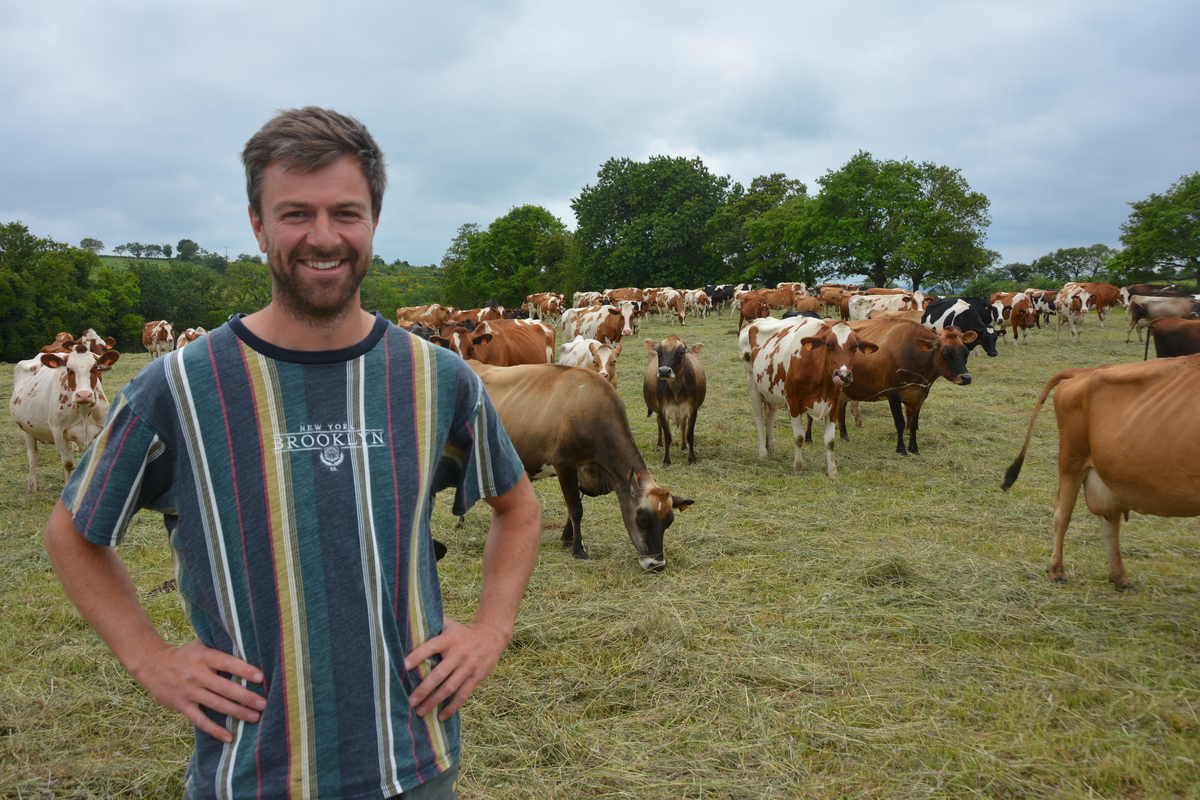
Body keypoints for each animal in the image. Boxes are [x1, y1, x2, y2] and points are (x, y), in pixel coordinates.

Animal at [9, 340, 120, 491]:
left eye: (95, 368)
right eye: (69, 369)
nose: (84, 395)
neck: (84, 412)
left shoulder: (99, 430)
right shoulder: (58, 431)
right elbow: (68, 462)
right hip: (27, 429)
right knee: (33, 455)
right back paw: (32, 486)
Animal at [643, 335, 705, 465]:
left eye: (681, 353)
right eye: (658, 351)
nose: (664, 371)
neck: (676, 390)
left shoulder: (692, 409)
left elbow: (689, 434)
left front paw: (692, 458)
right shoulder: (662, 410)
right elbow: (667, 436)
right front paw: (666, 460)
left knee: (683, 425)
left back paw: (683, 446)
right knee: (659, 423)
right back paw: (659, 444)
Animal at [734, 316, 878, 474]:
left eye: (855, 347)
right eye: (828, 345)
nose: (843, 375)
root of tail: (756, 321)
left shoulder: (834, 403)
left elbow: (830, 441)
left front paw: (832, 470)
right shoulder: (793, 403)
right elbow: (799, 437)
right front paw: (798, 465)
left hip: (771, 391)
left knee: (769, 418)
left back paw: (770, 446)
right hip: (753, 385)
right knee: (759, 420)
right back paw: (763, 452)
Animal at [835, 321, 974, 455]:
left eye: (966, 352)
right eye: (946, 353)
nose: (966, 377)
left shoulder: (919, 395)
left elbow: (913, 423)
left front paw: (914, 449)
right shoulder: (893, 394)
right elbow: (900, 422)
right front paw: (901, 449)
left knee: (840, 410)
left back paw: (844, 436)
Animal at [998, 357, 1200, 587]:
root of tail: (1085, 371)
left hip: (1106, 473)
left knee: (1109, 520)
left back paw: (1119, 577)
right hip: (1073, 458)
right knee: (1063, 513)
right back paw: (1057, 571)